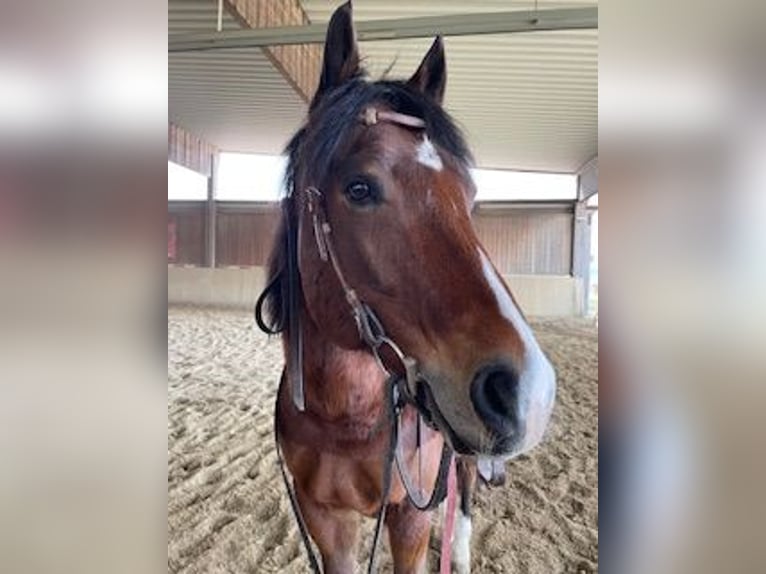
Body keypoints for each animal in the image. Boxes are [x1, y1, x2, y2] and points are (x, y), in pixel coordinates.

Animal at [256, 3, 556, 573]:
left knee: (466, 485)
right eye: (359, 188)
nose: (527, 391)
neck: (347, 421)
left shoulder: (411, 516)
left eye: (470, 195)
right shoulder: (325, 519)